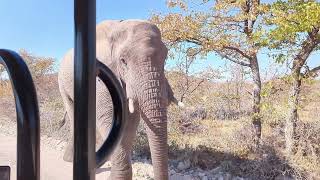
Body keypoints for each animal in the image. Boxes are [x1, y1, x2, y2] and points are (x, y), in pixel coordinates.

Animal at [57, 20, 182, 180]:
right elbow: (110, 117)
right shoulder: (100, 73)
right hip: (62, 83)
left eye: (165, 59)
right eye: (123, 61)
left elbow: (131, 121)